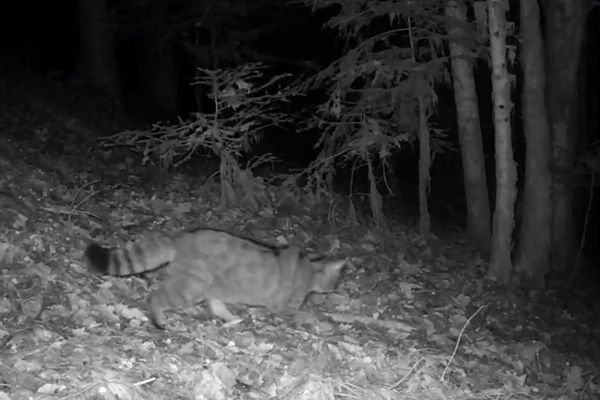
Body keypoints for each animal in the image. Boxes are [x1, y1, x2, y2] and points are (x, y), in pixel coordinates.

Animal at [85, 228, 346, 328]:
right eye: (336, 281)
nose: (335, 289)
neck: (309, 264)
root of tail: (180, 237)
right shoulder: (289, 305)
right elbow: (300, 313)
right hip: (192, 286)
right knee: (156, 296)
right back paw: (159, 318)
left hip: (211, 285)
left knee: (216, 304)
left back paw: (231, 318)